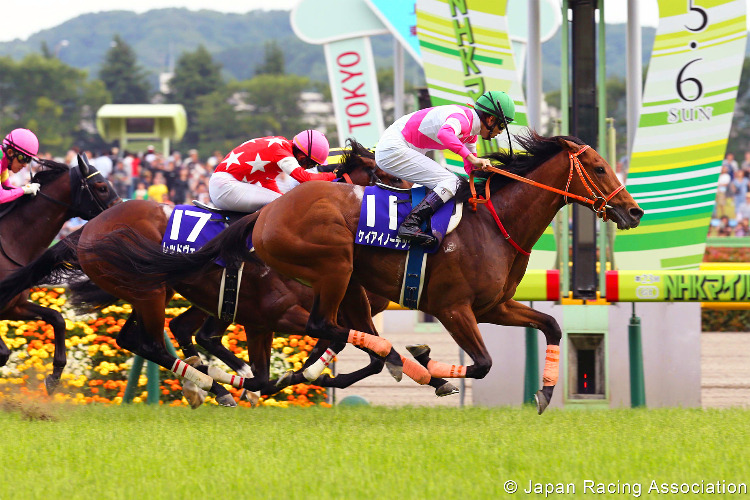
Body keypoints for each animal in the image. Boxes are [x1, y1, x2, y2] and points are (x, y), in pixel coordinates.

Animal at [0, 154, 119, 392]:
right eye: (101, 187)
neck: (11, 242)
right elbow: (3, 353)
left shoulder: (13, 306)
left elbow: (57, 318)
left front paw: (54, 377)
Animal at [85, 131, 648, 412]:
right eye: (600, 168)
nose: (634, 211)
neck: (492, 223)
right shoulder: (452, 307)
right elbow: (482, 364)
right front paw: (427, 368)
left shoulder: (495, 305)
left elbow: (551, 325)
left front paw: (547, 391)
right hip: (329, 266)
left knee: (166, 336)